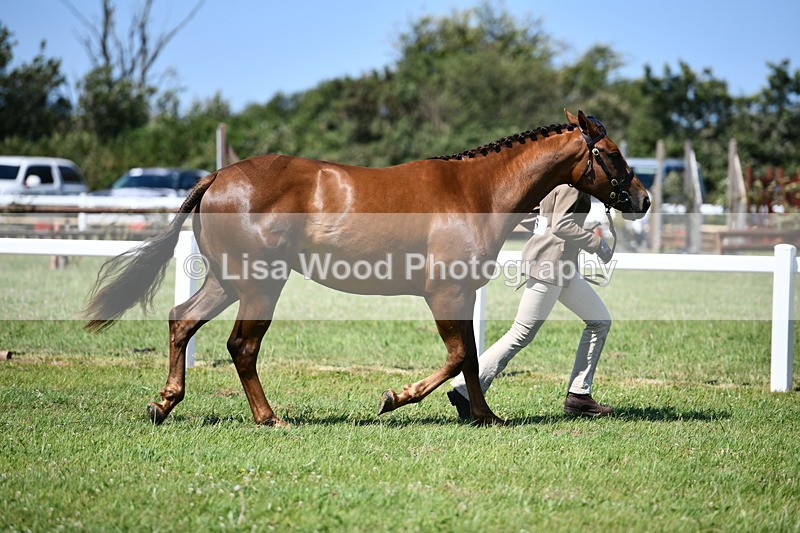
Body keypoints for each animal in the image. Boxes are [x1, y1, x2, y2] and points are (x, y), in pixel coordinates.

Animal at [84, 109, 650, 426]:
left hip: (228, 281)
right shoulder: (445, 293)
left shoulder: (460, 294)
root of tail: (218, 177)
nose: (642, 199)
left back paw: (164, 404)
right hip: (261, 286)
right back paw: (269, 418)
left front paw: (481, 414)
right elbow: (459, 355)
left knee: (182, 321)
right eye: (612, 154)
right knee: (241, 346)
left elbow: (468, 357)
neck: (475, 192)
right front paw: (399, 398)